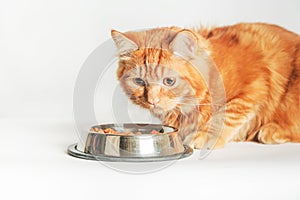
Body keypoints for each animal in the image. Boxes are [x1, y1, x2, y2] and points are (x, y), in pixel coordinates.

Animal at [110, 23, 300, 148]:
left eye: (169, 81)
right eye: (139, 82)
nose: (152, 101)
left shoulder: (255, 85)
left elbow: (224, 116)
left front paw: (204, 135)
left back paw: (271, 131)